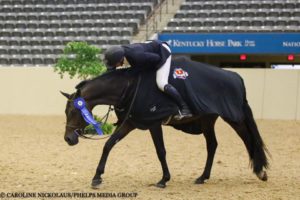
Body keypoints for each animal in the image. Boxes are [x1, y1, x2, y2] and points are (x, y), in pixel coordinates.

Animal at [61, 56, 270, 189]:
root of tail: (236, 77)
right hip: (207, 121)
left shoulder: (154, 123)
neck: (129, 87)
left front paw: (163, 180)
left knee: (248, 140)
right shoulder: (131, 123)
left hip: (233, 118)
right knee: (212, 145)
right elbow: (109, 144)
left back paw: (260, 172)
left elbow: (160, 151)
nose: (68, 139)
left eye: (73, 111)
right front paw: (97, 177)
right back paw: (202, 177)